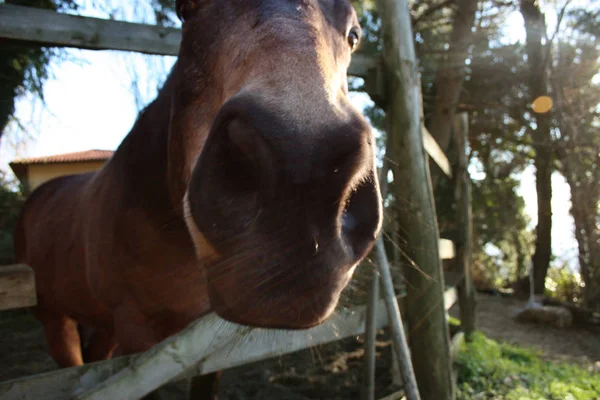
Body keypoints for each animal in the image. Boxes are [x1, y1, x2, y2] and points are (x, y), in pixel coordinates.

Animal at [16, 0, 382, 396]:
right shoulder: (137, 336)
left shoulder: (204, 343)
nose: (303, 169)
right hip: (55, 320)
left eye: (354, 35)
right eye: (186, 9)